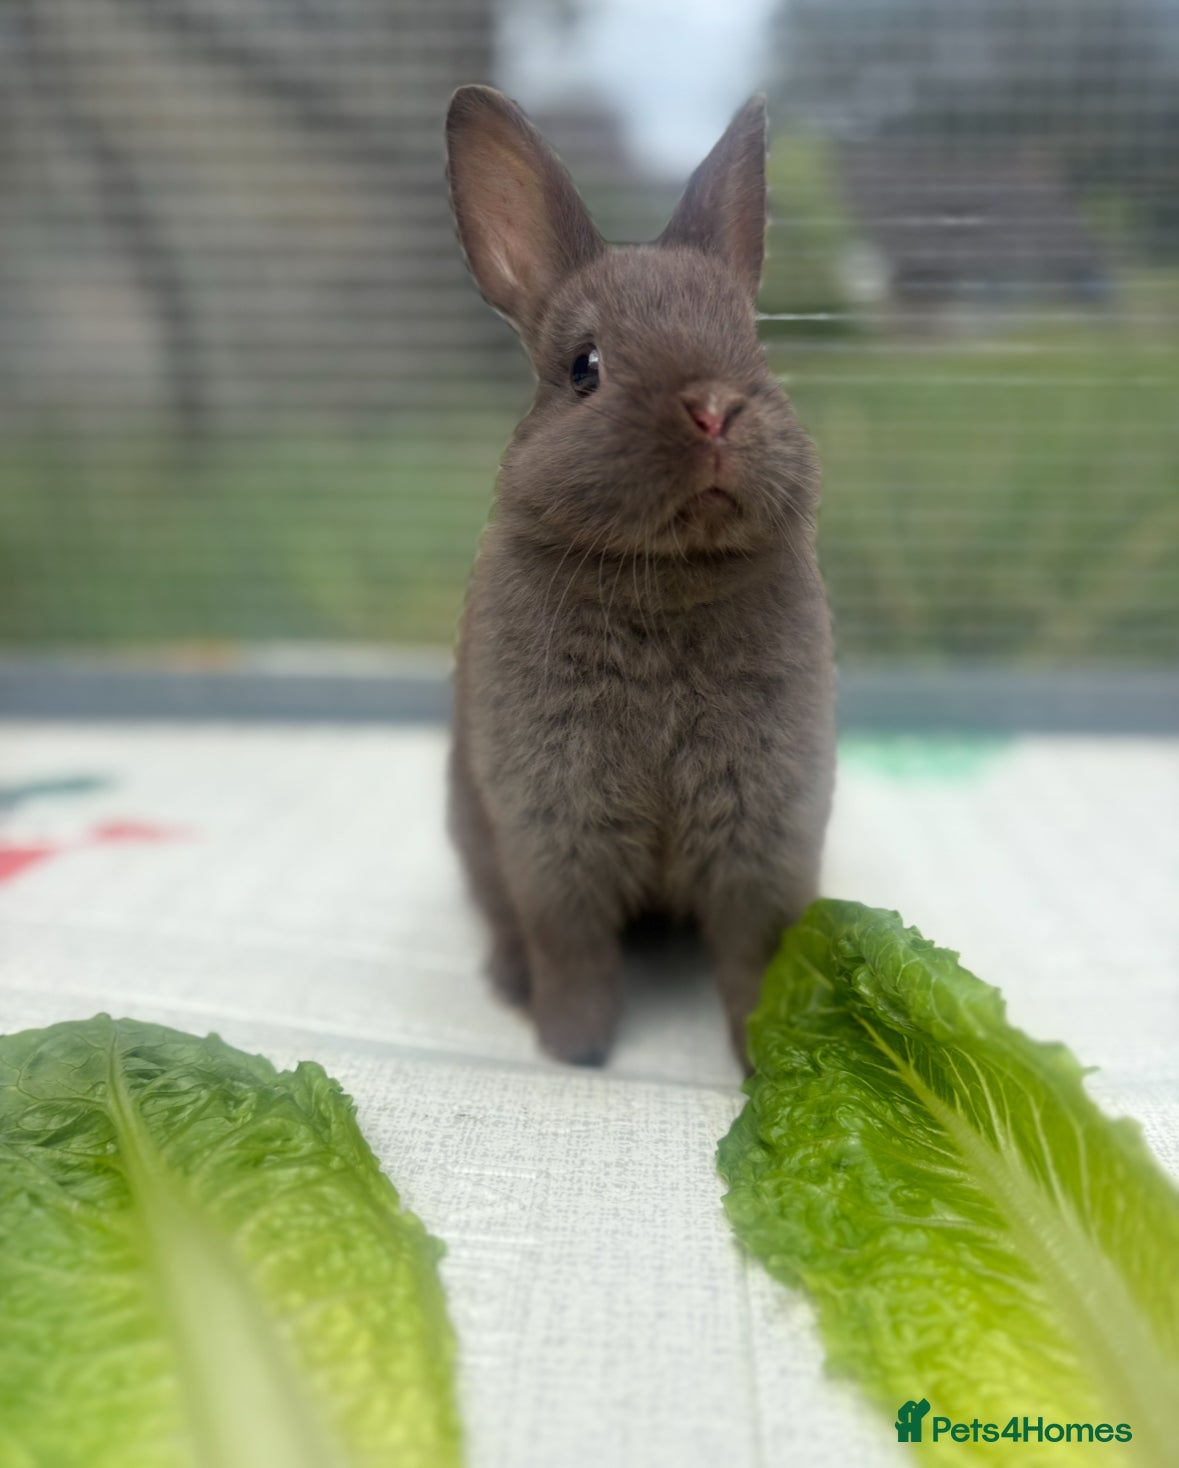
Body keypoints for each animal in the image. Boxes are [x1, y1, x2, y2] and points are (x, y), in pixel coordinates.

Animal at [445, 85, 835, 1068]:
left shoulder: (758, 833)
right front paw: (574, 1048)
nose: (713, 409)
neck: (666, 576)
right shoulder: (555, 832)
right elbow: (572, 946)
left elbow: (750, 956)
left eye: (753, 349)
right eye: (584, 368)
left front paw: (756, 1056)